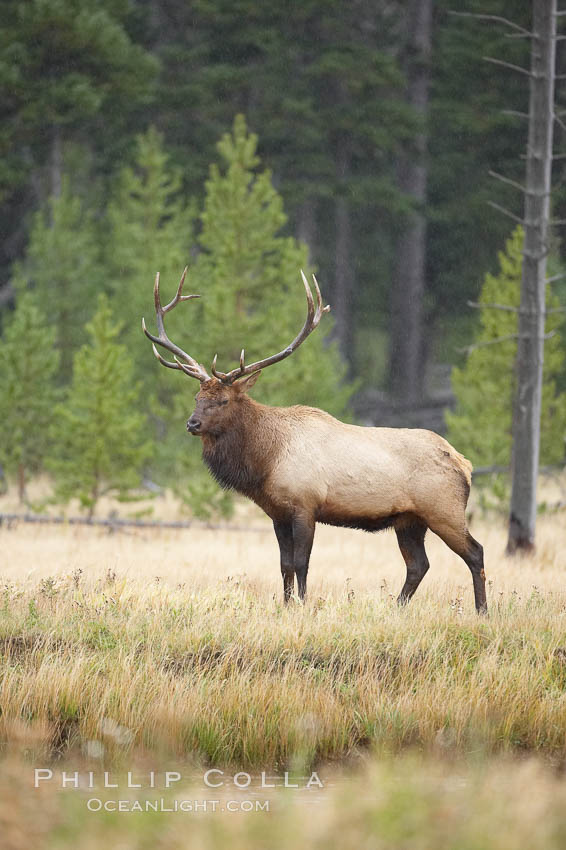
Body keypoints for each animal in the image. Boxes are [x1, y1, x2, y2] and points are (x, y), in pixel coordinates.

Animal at [142, 266, 488, 608]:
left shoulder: (305, 505)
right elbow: (284, 564)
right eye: (197, 397)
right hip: (409, 520)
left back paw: (481, 611)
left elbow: (301, 563)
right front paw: (285, 606)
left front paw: (303, 605)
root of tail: (465, 464)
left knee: (475, 552)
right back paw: (397, 608)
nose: (192, 423)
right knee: (418, 564)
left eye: (223, 400)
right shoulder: (277, 512)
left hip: (444, 510)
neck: (265, 461)